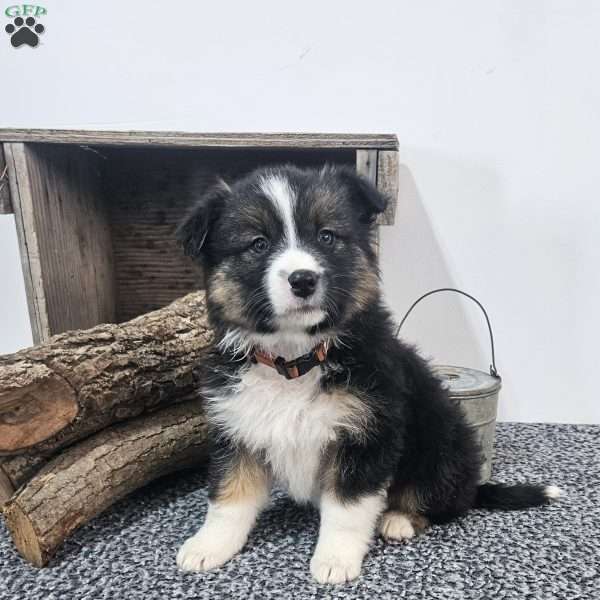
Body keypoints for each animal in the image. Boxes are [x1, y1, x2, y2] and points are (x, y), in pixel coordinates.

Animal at [176, 166, 560, 584]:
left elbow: (347, 507)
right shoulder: (237, 430)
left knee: (440, 500)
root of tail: (475, 482)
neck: (295, 360)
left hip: (442, 444)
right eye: (258, 244)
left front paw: (335, 559)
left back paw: (399, 519)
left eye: (326, 236)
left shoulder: (368, 433)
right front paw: (208, 546)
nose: (303, 279)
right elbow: (229, 497)